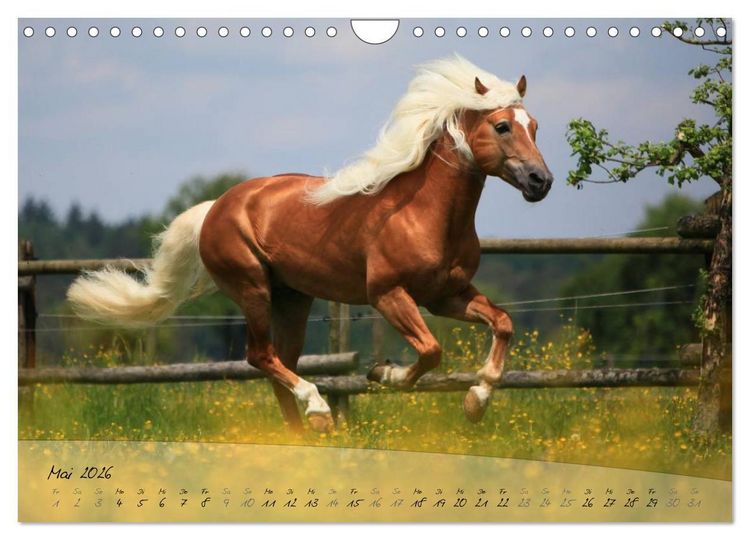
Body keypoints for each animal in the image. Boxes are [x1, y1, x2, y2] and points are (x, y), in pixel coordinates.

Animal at [67, 55, 553, 433]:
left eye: (535, 126)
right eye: (503, 126)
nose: (540, 181)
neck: (424, 214)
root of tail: (215, 207)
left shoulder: (446, 296)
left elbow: (503, 323)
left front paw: (475, 402)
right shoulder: (388, 294)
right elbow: (431, 351)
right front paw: (384, 374)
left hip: (293, 299)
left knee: (279, 363)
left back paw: (301, 437)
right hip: (252, 287)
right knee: (261, 356)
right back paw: (318, 411)